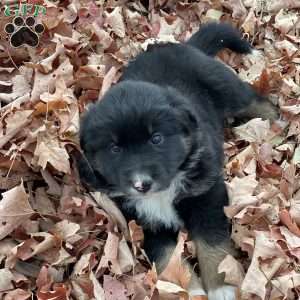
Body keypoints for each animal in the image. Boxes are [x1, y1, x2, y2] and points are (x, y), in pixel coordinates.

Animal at [78, 22, 278, 300]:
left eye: (157, 139)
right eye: (114, 148)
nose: (141, 184)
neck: (165, 190)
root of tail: (185, 46)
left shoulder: (208, 196)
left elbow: (212, 244)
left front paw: (221, 289)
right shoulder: (145, 223)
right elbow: (167, 257)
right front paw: (190, 291)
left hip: (226, 87)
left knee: (257, 102)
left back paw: (278, 123)